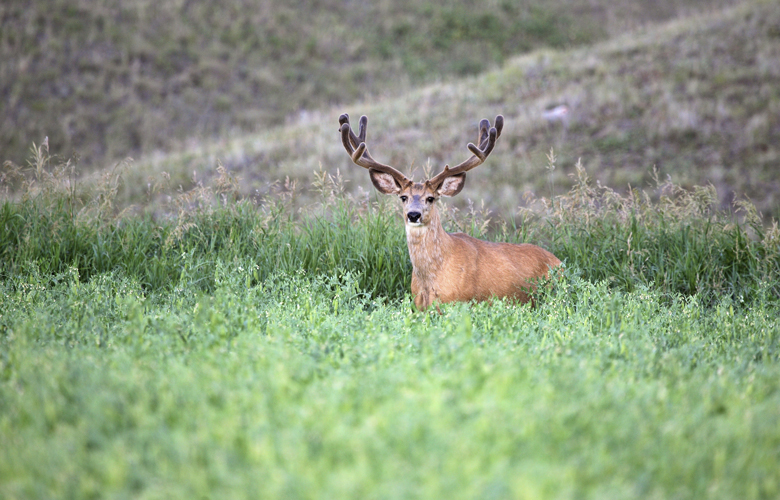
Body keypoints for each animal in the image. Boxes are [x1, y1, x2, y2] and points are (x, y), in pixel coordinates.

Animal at [338, 113, 561, 311]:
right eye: (403, 197)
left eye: (431, 198)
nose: (413, 215)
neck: (430, 281)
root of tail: (559, 261)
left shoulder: (460, 302)